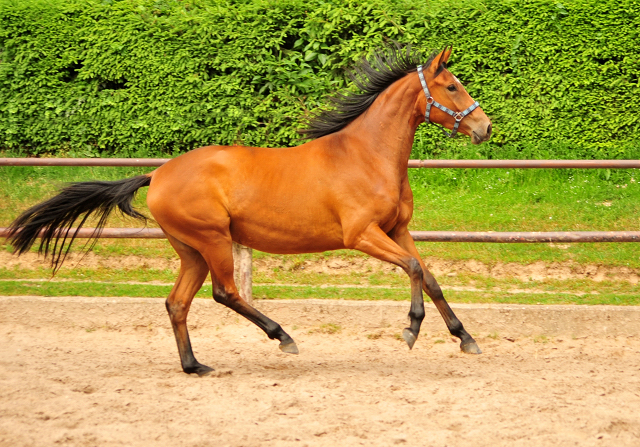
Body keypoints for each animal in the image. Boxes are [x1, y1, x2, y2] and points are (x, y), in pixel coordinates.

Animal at [7, 45, 492, 376]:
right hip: (213, 240)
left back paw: (194, 365)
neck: (366, 155)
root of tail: (157, 175)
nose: (484, 127)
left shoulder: (397, 230)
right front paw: (411, 330)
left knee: (177, 303)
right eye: (452, 86)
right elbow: (413, 269)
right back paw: (283, 338)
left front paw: (465, 338)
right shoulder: (362, 234)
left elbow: (429, 276)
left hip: (191, 250)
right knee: (225, 293)